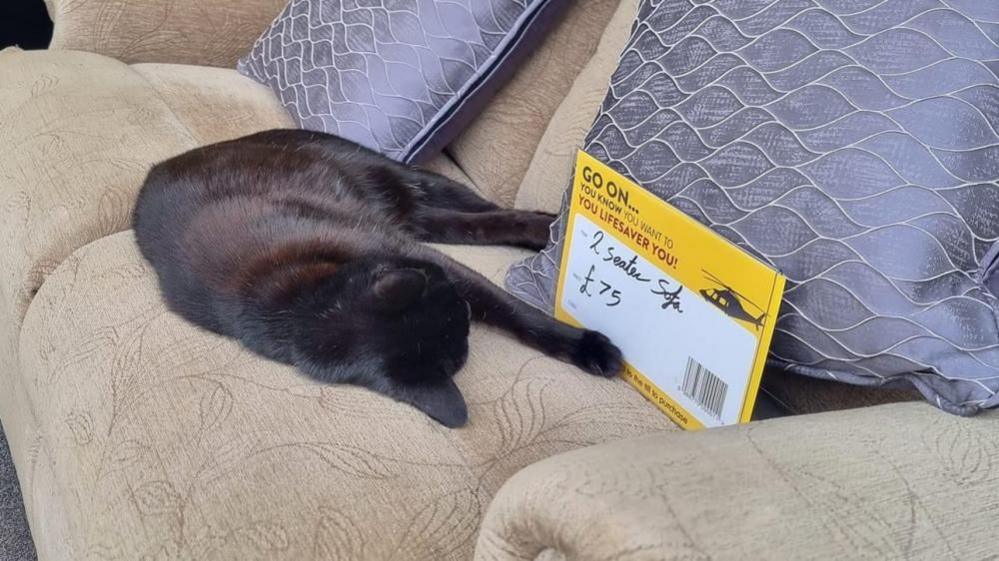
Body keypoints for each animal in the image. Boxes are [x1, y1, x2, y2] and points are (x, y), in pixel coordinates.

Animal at [131, 130, 616, 424]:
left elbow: (515, 312)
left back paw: (550, 228)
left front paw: (589, 347)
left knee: (493, 211)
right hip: (421, 220)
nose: (463, 305)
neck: (295, 302)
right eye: (459, 327)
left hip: (402, 179)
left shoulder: (418, 255)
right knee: (471, 224)